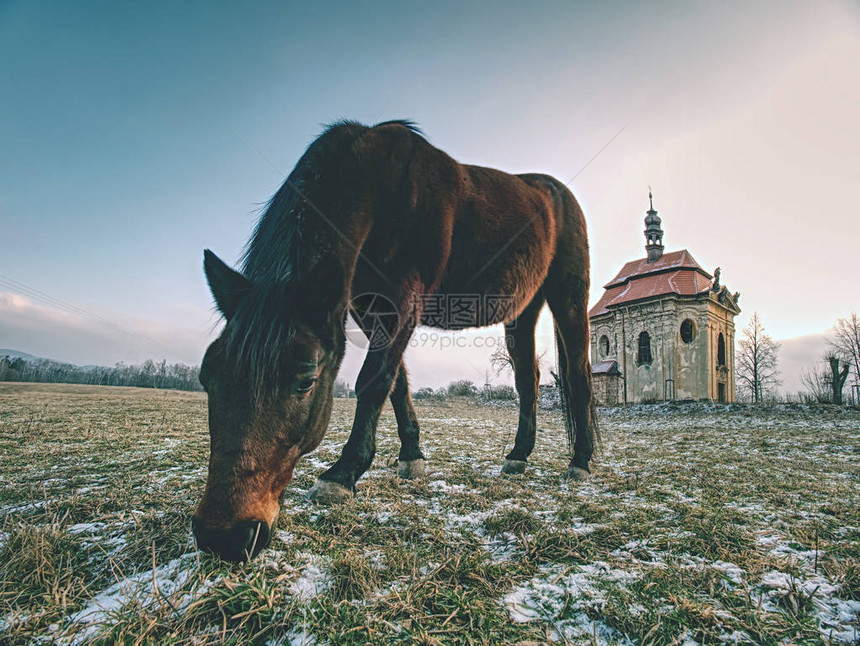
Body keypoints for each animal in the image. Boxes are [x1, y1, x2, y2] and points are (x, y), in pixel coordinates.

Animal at [193, 120, 596, 560]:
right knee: (528, 380)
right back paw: (518, 456)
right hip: (522, 312)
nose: (223, 535)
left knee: (578, 377)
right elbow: (396, 383)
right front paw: (411, 458)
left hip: (568, 297)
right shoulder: (366, 308)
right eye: (206, 377)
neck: (381, 188)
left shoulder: (402, 301)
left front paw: (342, 474)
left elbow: (374, 382)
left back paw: (580, 461)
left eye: (305, 381)